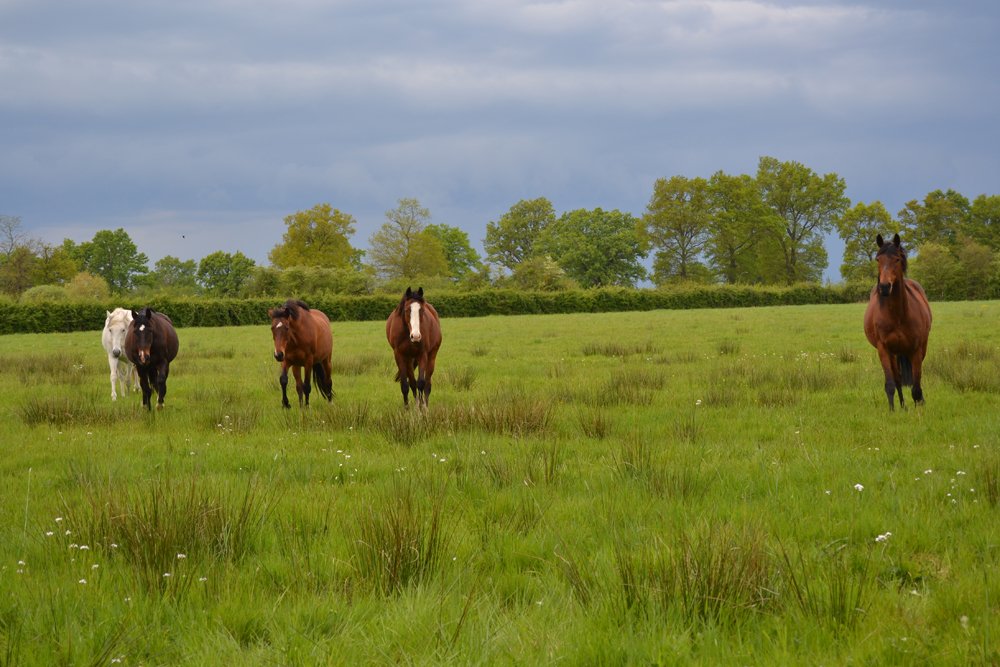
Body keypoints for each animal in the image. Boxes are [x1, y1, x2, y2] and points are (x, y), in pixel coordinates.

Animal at [863, 233, 932, 410]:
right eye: (878, 259)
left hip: (919, 349)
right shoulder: (884, 349)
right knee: (898, 379)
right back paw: (902, 406)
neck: (898, 315)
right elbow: (890, 384)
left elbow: (916, 385)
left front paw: (919, 407)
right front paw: (893, 410)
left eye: (896, 259)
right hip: (894, 354)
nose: (884, 287)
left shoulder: (915, 350)